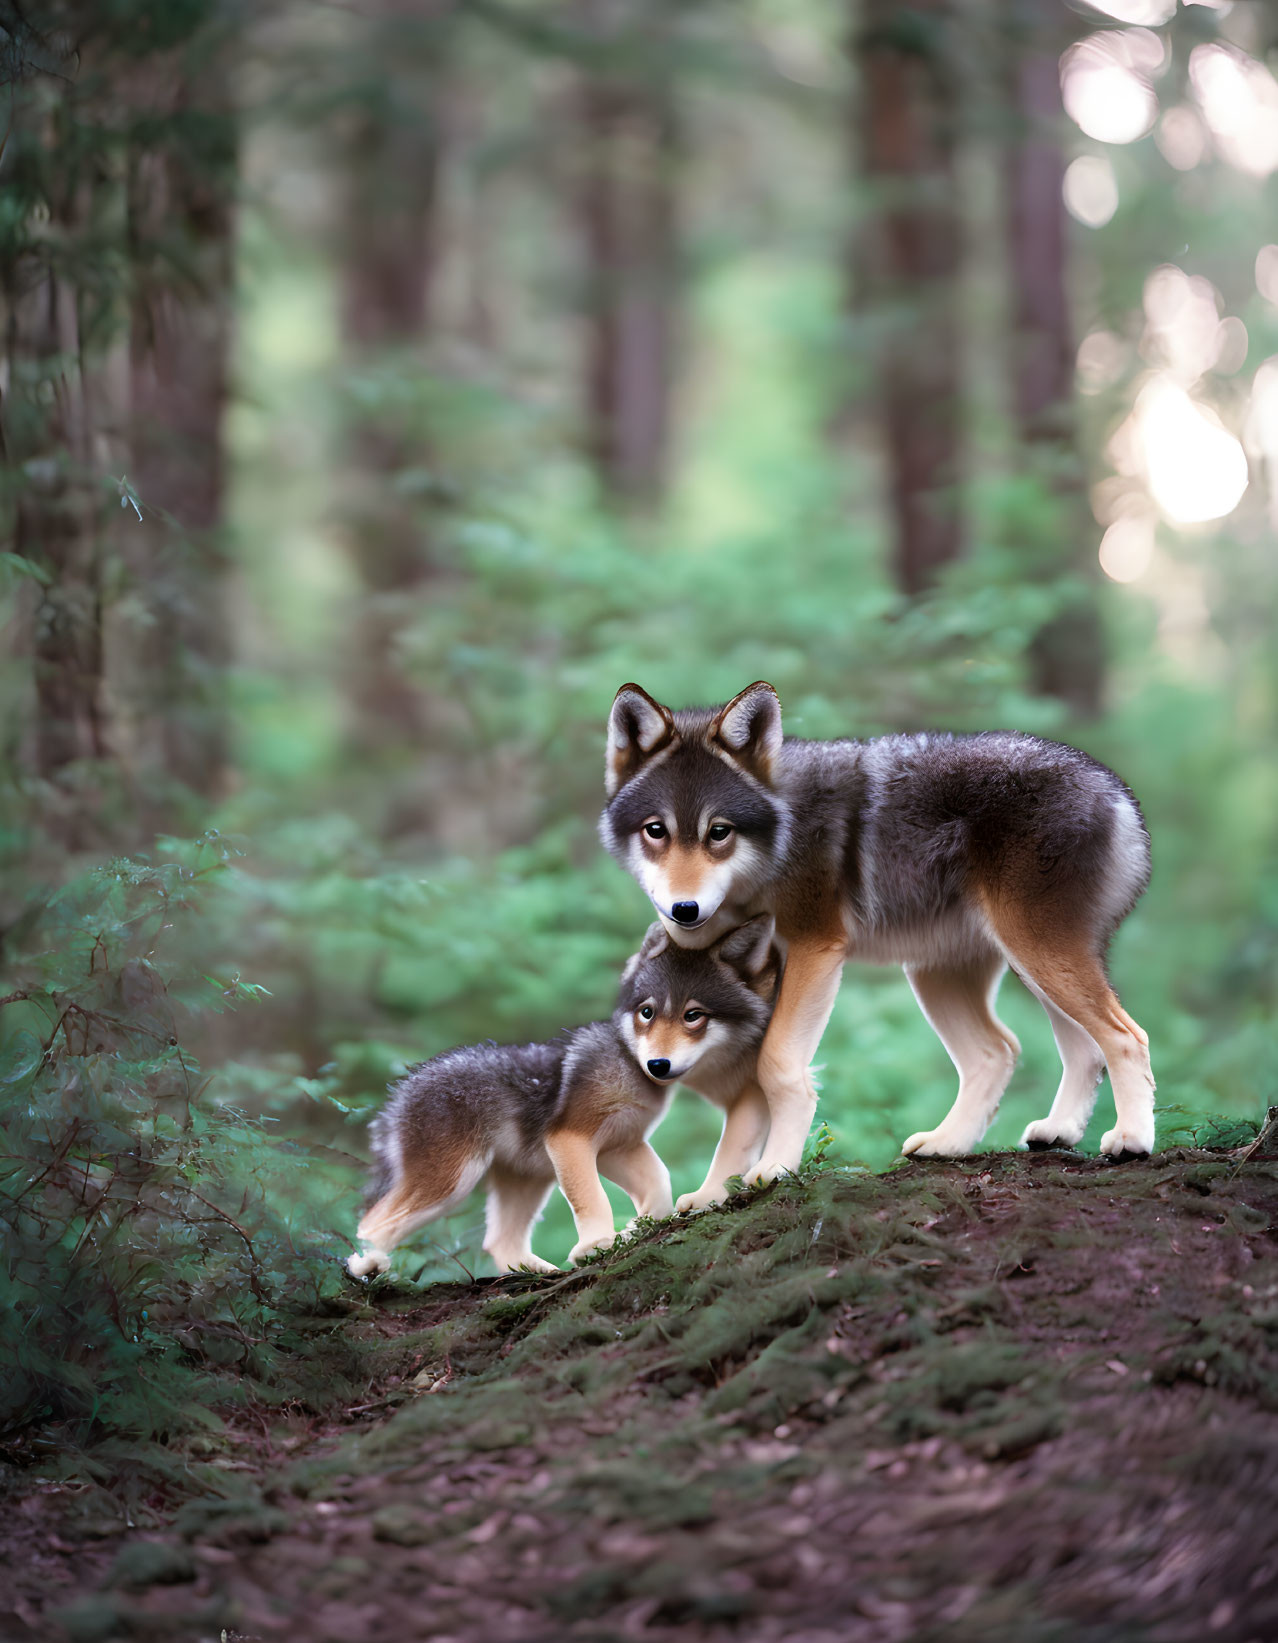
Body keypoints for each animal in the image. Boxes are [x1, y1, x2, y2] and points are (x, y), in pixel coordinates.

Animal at [601, 673, 1156, 1189]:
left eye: (719, 832)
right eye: (656, 831)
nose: (685, 909)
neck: (780, 838)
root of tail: (1115, 789)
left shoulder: (815, 947)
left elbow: (776, 1066)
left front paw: (776, 1168)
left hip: (1035, 955)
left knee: (1125, 1036)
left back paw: (1131, 1139)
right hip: (967, 972)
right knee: (1015, 1051)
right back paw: (976, 1140)